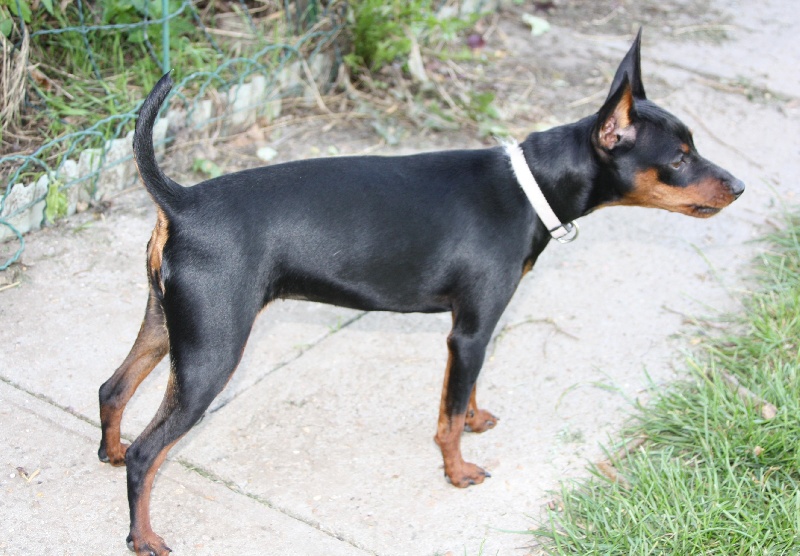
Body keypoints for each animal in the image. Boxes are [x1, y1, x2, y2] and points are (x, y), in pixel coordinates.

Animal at [98, 30, 743, 554]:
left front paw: (477, 418)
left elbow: (465, 394)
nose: (739, 185)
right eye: (680, 159)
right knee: (149, 453)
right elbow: (447, 418)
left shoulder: (474, 331)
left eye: (692, 148)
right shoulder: (470, 331)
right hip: (213, 352)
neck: (531, 185)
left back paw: (109, 451)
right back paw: (144, 536)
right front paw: (457, 472)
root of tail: (182, 202)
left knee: (113, 388)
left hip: (168, 327)